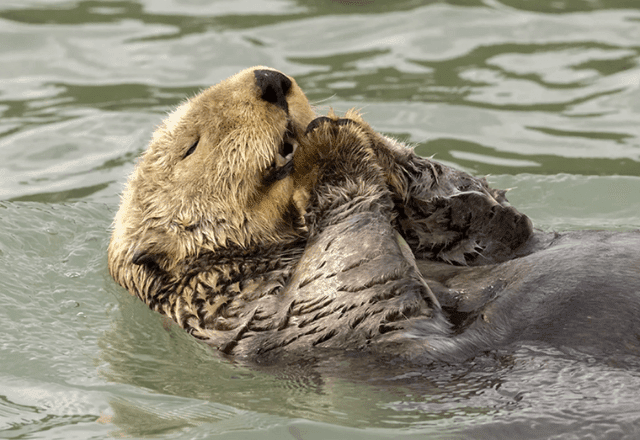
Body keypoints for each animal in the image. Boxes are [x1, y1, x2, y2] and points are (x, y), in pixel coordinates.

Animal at [109, 64, 640, 360]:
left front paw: (348, 124)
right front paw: (328, 148)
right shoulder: (241, 310)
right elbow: (351, 290)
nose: (270, 81)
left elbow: (492, 221)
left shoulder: (491, 239)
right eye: (190, 146)